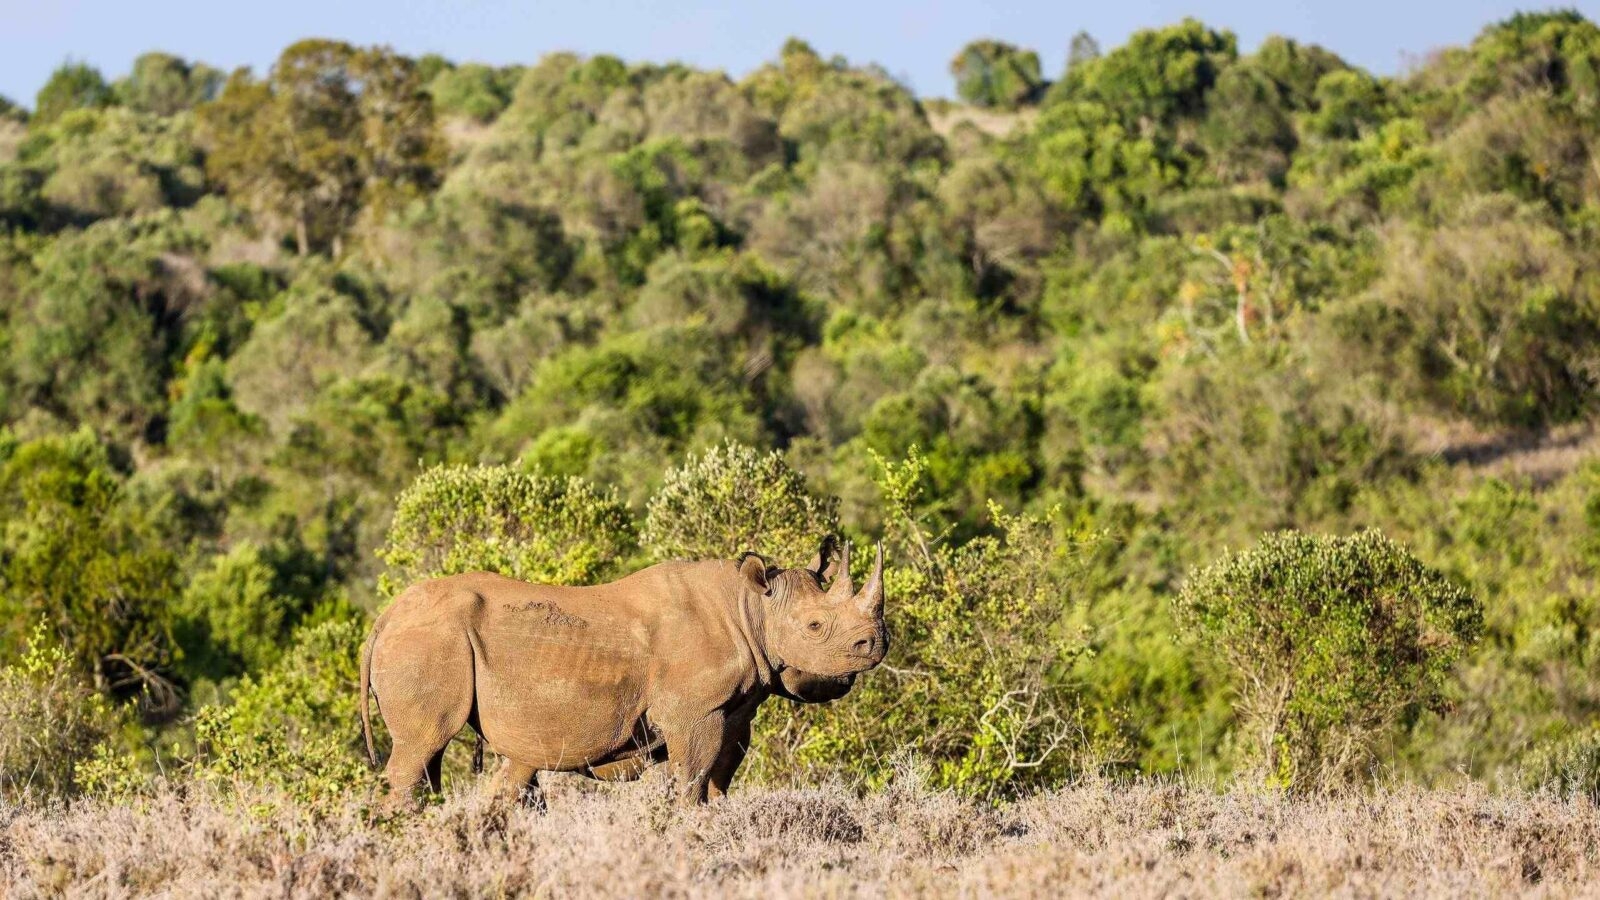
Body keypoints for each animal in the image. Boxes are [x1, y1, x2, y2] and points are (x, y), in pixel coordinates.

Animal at [359, 537, 887, 809]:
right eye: (815, 626)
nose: (875, 644)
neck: (750, 607)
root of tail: (384, 618)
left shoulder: (735, 707)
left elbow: (719, 777)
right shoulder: (694, 712)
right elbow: (693, 777)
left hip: (430, 640)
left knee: (443, 759)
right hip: (429, 641)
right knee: (422, 745)